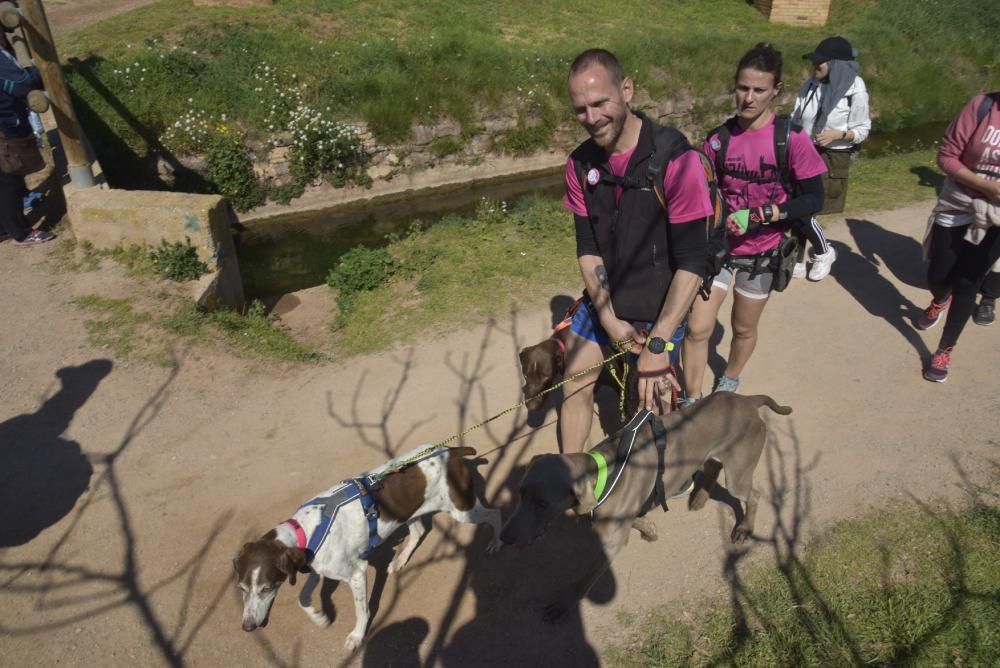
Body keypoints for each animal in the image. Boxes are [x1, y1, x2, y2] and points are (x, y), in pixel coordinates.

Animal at [232, 446, 500, 648]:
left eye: (267, 588)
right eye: (242, 588)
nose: (248, 627)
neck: (305, 530)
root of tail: (451, 450)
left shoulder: (356, 573)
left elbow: (362, 611)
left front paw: (357, 636)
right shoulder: (315, 566)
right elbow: (302, 597)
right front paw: (320, 618)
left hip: (462, 510)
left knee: (495, 513)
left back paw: (496, 542)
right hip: (408, 511)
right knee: (418, 532)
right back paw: (399, 560)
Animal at [500, 394, 788, 620]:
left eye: (542, 503)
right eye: (520, 494)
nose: (504, 537)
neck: (604, 473)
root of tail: (747, 400)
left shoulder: (610, 542)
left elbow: (585, 579)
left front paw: (564, 602)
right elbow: (637, 518)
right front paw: (649, 529)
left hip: (738, 472)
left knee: (754, 495)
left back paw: (744, 528)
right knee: (712, 467)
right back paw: (699, 498)